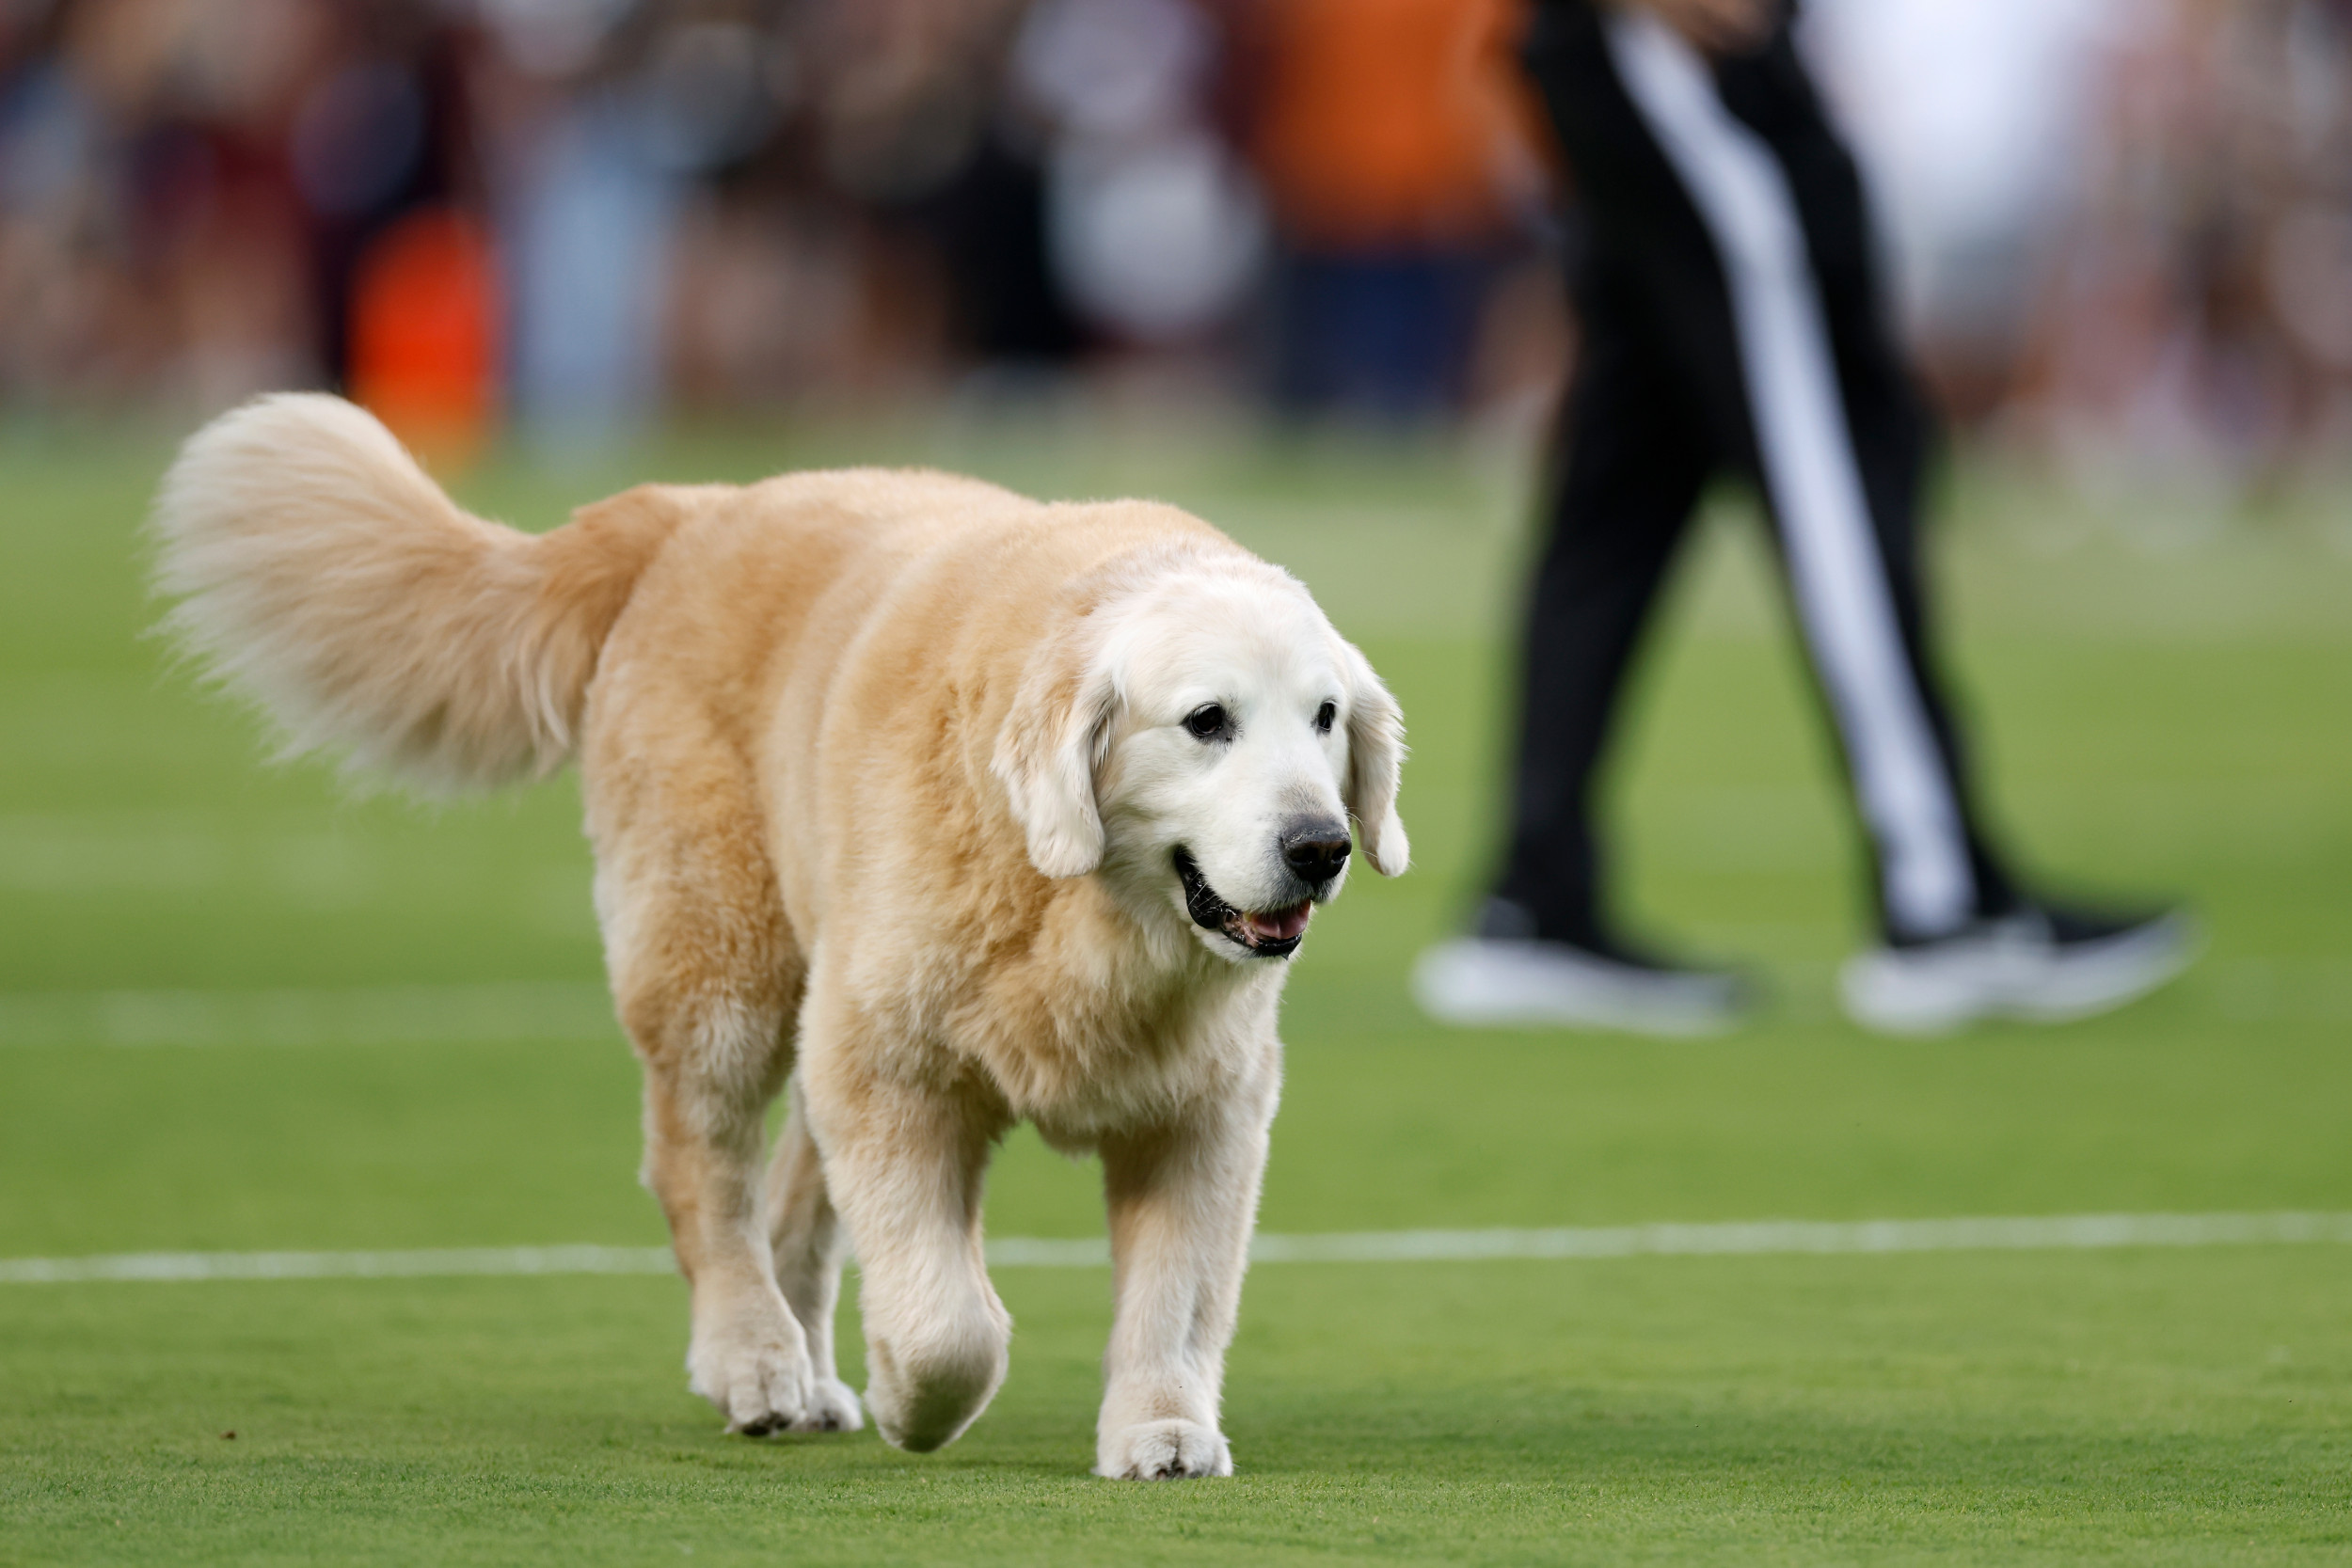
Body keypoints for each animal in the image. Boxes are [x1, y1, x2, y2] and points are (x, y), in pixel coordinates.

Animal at [156, 392, 1402, 1485]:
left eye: (1325, 717)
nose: (1321, 845)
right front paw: (914, 1398)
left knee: (796, 1201)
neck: (1082, 904)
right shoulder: (892, 1063)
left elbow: (1174, 1298)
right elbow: (947, 1316)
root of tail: (695, 508)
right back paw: (753, 1362)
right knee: (703, 1172)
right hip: (723, 968)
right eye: (1206, 721)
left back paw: (802, 1373)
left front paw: (1160, 1433)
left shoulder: (1202, 1108)